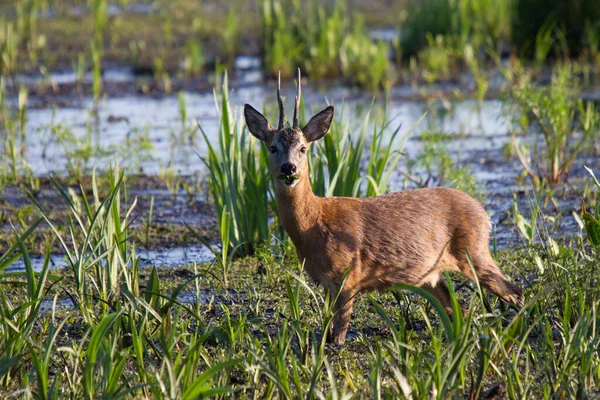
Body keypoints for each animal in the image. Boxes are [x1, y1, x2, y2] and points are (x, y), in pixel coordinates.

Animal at [241, 69, 524, 344]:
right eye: (272, 147)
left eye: (303, 148)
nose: (289, 168)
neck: (315, 227)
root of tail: (483, 212)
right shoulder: (326, 284)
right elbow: (328, 333)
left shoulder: (348, 277)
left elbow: (338, 338)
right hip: (431, 275)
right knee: (460, 310)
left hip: (473, 251)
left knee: (515, 291)